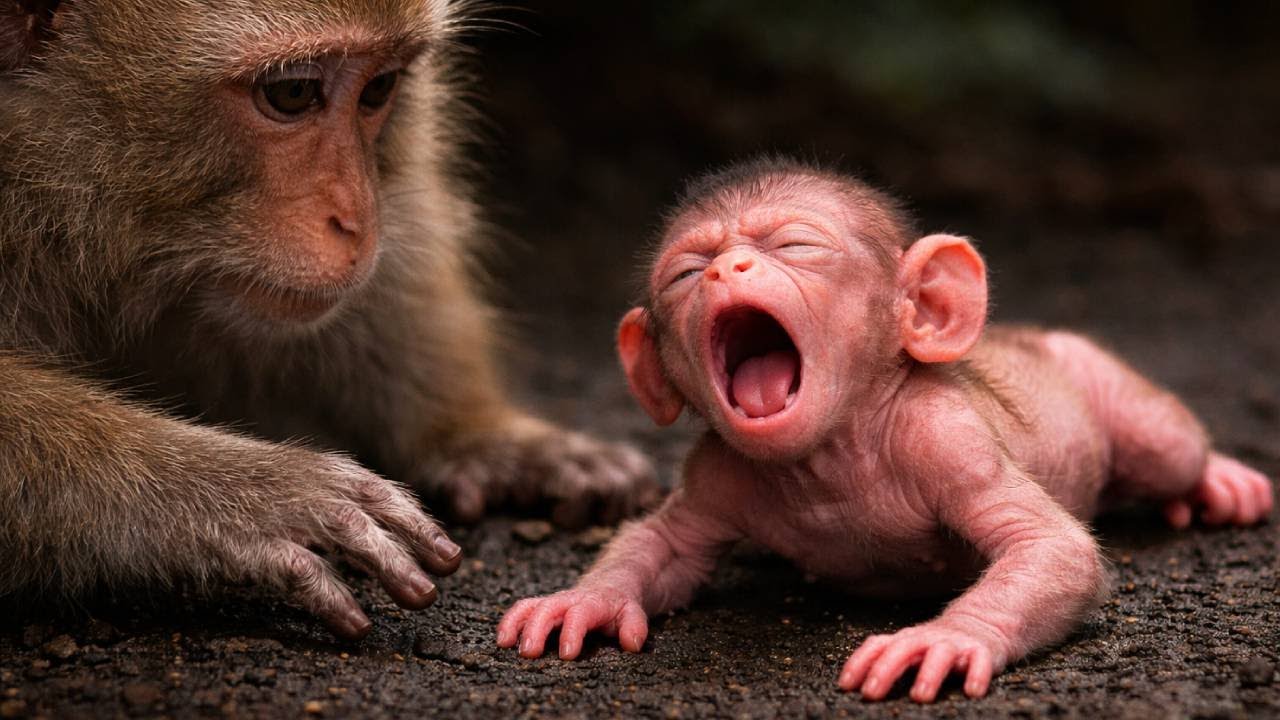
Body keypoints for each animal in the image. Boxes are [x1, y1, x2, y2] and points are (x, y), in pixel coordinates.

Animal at [496, 156, 1273, 702]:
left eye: (796, 246)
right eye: (687, 273)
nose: (725, 270)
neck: (829, 456)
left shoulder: (946, 437)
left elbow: (1050, 546)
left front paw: (947, 640)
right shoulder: (717, 470)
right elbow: (663, 540)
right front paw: (585, 600)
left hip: (1101, 383)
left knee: (1170, 450)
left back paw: (1214, 480)